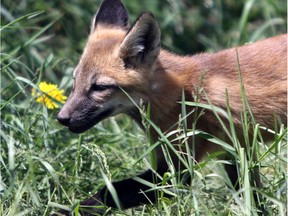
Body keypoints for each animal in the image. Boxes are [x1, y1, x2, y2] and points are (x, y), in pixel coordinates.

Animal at [55, 0, 286, 214]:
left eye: (99, 87)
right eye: (75, 82)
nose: (61, 118)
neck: (179, 94)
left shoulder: (178, 167)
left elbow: (107, 193)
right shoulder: (233, 150)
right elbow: (250, 195)